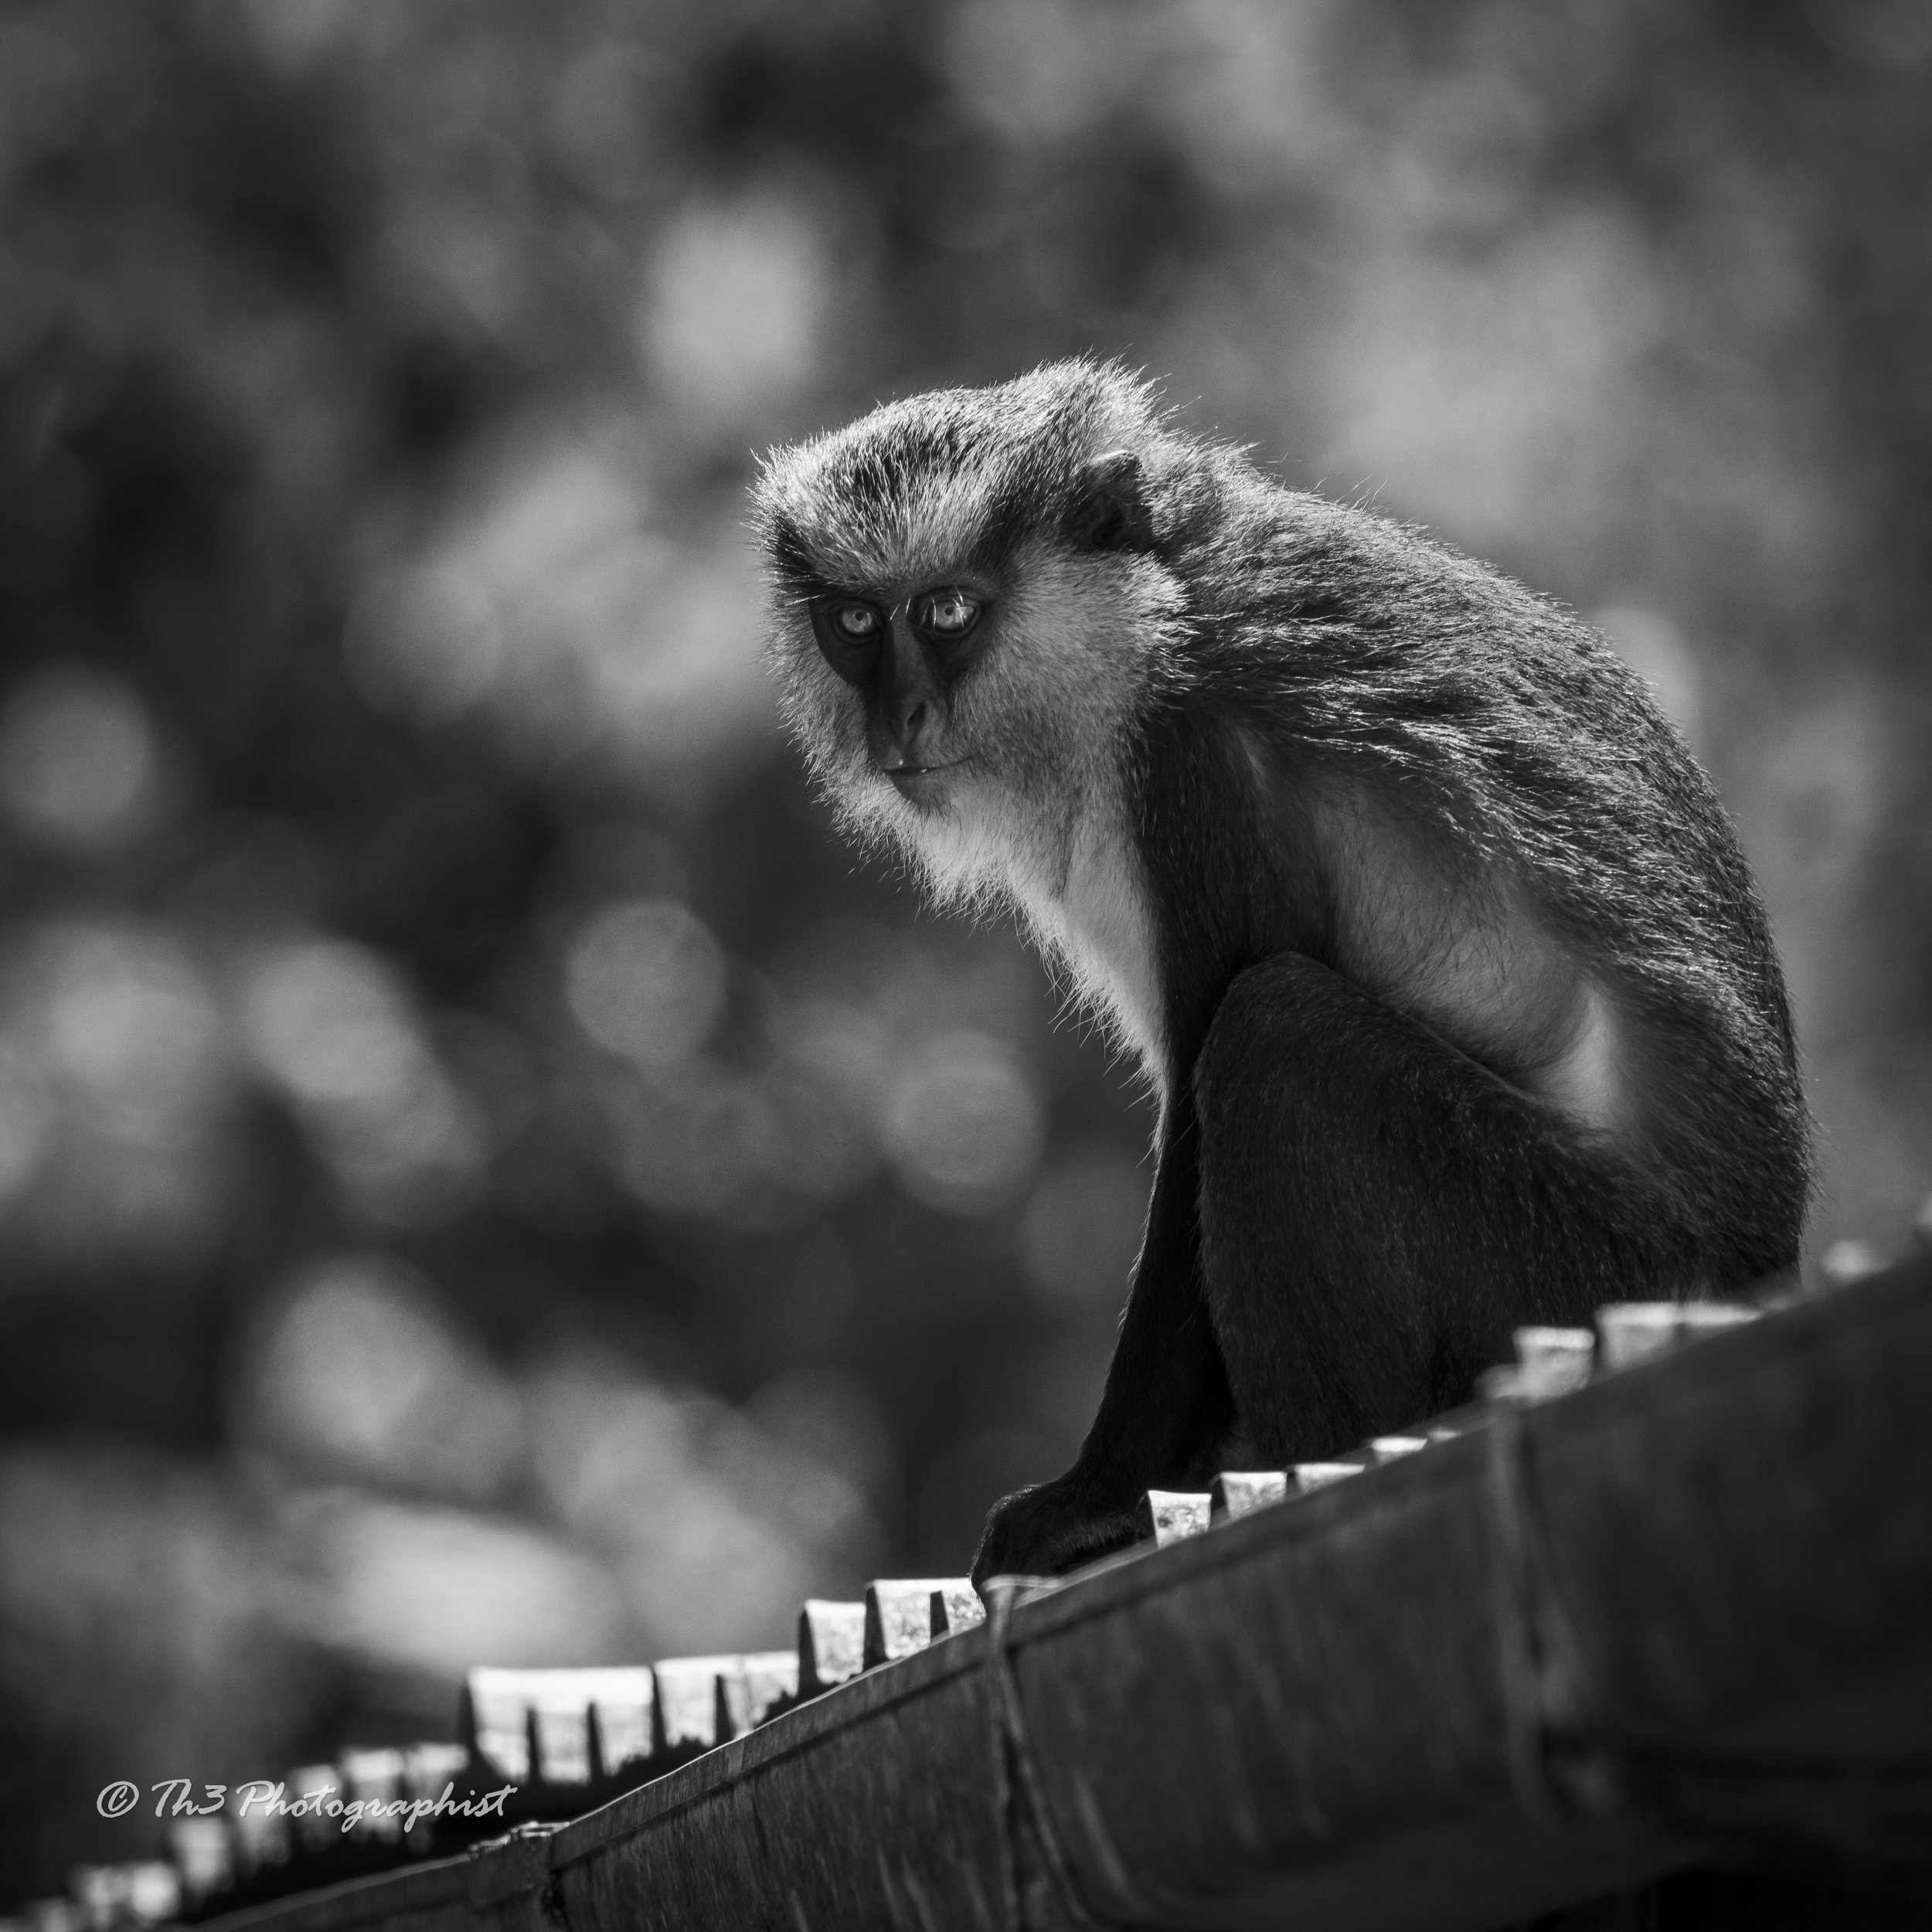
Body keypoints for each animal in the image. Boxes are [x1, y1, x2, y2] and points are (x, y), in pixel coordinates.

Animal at [751, 359, 1811, 1584]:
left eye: (949, 611)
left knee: (1275, 1031)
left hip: (1586, 1269)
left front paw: (1090, 1499)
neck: (1158, 614)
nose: (902, 717)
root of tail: (1759, 1263)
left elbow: (1199, 1127)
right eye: (855, 623)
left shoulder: (1203, 767)